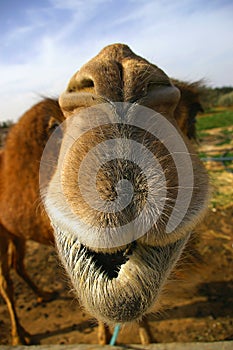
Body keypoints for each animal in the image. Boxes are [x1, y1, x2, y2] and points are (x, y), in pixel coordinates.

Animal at [0, 43, 208, 344]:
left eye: (193, 115)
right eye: (53, 129)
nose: (119, 74)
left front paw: (147, 336)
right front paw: (103, 336)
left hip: (14, 233)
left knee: (18, 264)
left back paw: (42, 296)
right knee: (5, 282)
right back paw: (20, 336)